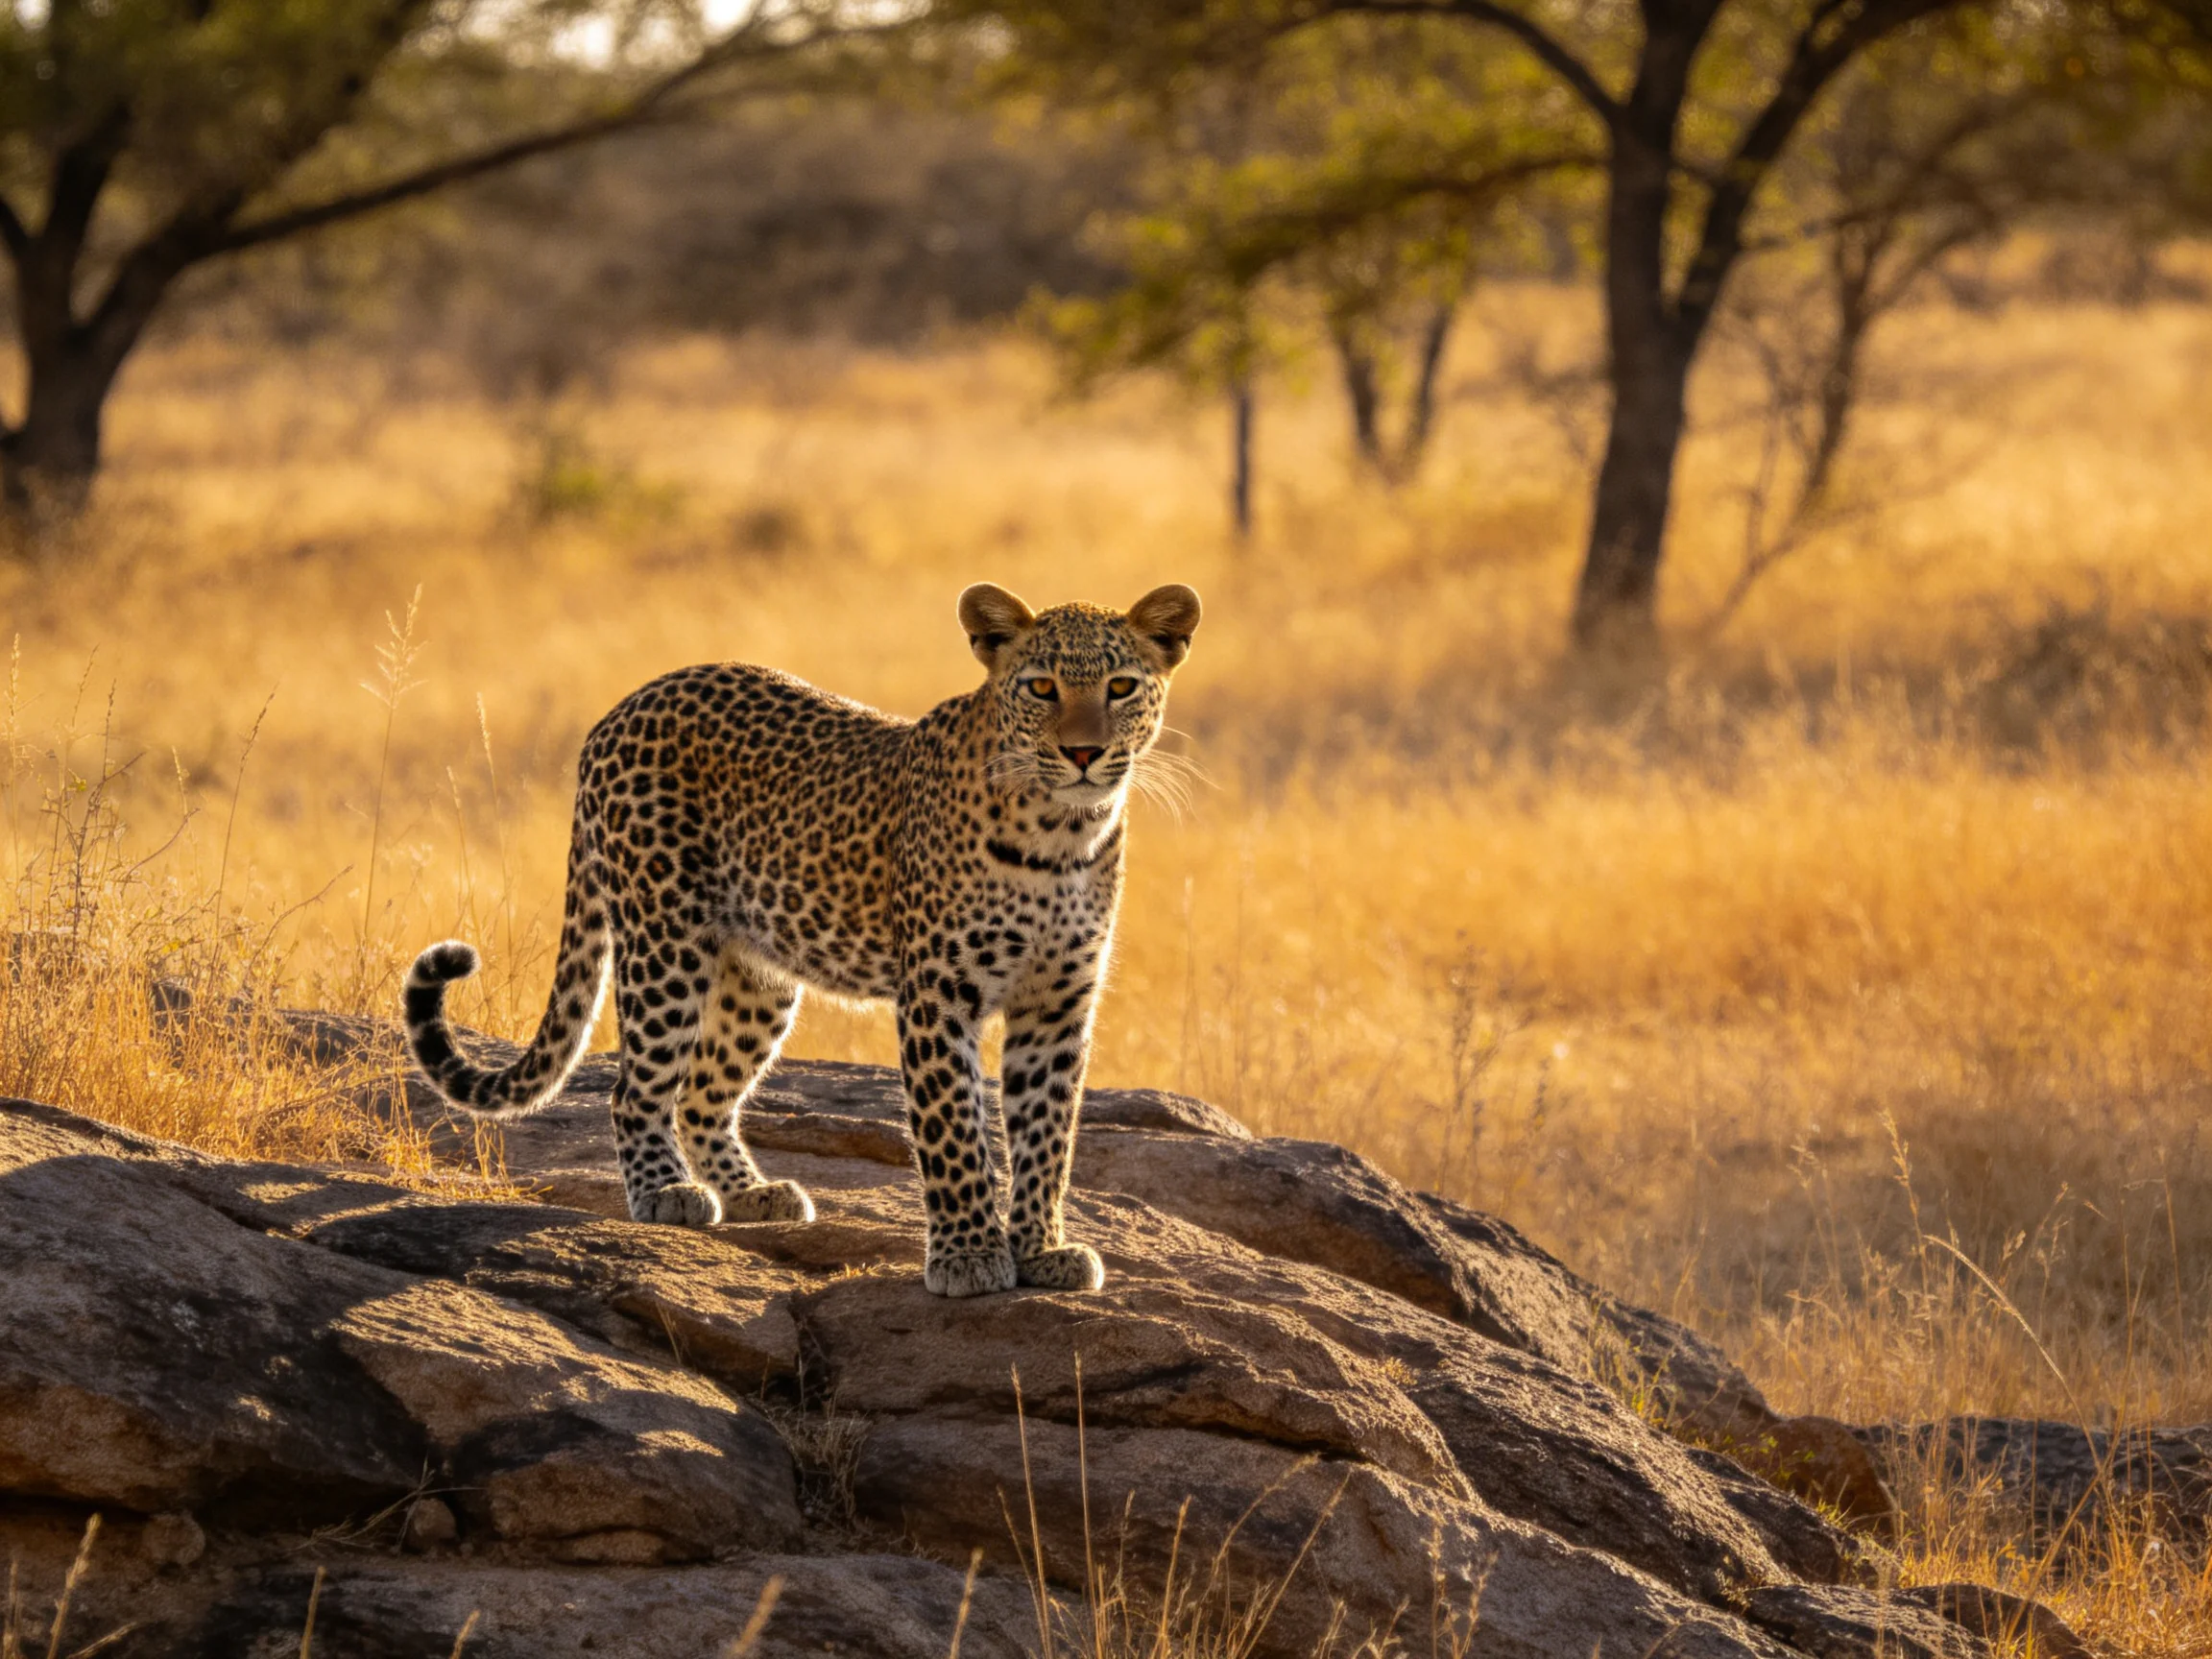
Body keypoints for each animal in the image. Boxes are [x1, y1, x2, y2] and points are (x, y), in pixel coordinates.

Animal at [402, 581, 1201, 1298]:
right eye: (1040, 687)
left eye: (1122, 687)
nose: (1082, 753)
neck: (1064, 833)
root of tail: (618, 711)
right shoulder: (939, 995)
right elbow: (955, 1132)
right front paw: (970, 1256)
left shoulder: (1057, 1003)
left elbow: (1047, 1136)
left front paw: (1042, 1249)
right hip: (663, 944)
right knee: (638, 1088)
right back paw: (665, 1191)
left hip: (758, 978)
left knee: (702, 1093)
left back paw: (753, 1192)